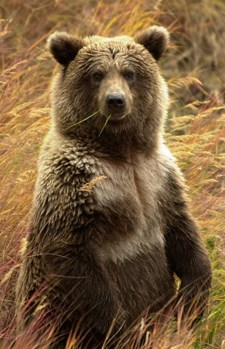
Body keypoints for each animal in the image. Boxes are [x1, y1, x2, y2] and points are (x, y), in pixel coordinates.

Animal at [15, 25, 211, 346]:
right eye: (97, 74)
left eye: (129, 72)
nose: (116, 100)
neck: (122, 152)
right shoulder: (76, 183)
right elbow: (75, 257)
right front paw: (118, 326)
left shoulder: (160, 178)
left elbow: (182, 230)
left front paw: (192, 301)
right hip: (51, 314)